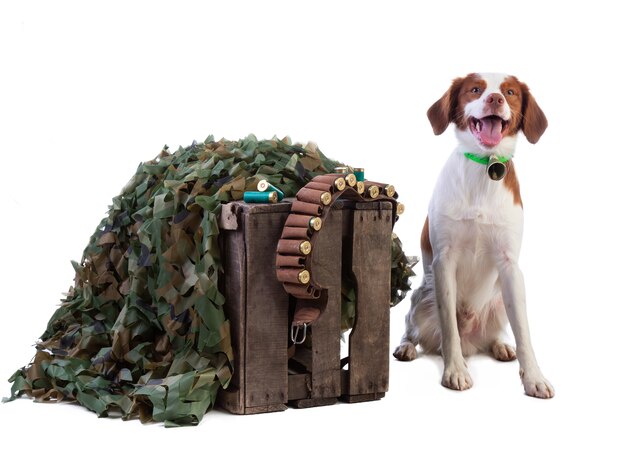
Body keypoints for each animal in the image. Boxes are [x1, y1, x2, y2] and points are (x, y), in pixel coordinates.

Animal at [392, 73, 552, 398]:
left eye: (511, 92)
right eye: (475, 89)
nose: (495, 98)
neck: (484, 167)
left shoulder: (510, 267)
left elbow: (524, 332)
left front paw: (534, 378)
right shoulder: (444, 262)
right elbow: (449, 329)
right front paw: (454, 371)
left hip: (500, 301)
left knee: (495, 334)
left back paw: (501, 346)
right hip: (421, 297)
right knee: (412, 328)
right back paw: (406, 348)